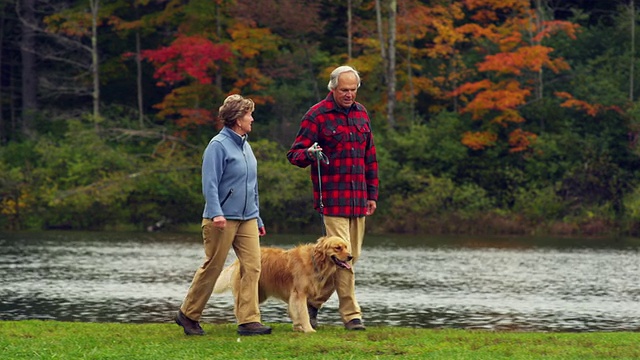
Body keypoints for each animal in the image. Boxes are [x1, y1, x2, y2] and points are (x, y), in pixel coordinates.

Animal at [216, 236, 356, 332]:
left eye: (346, 247)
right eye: (337, 248)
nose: (350, 256)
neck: (315, 261)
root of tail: (237, 261)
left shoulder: (295, 295)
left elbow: (296, 311)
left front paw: (298, 327)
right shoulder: (300, 293)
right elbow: (303, 312)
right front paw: (308, 329)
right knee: (239, 308)